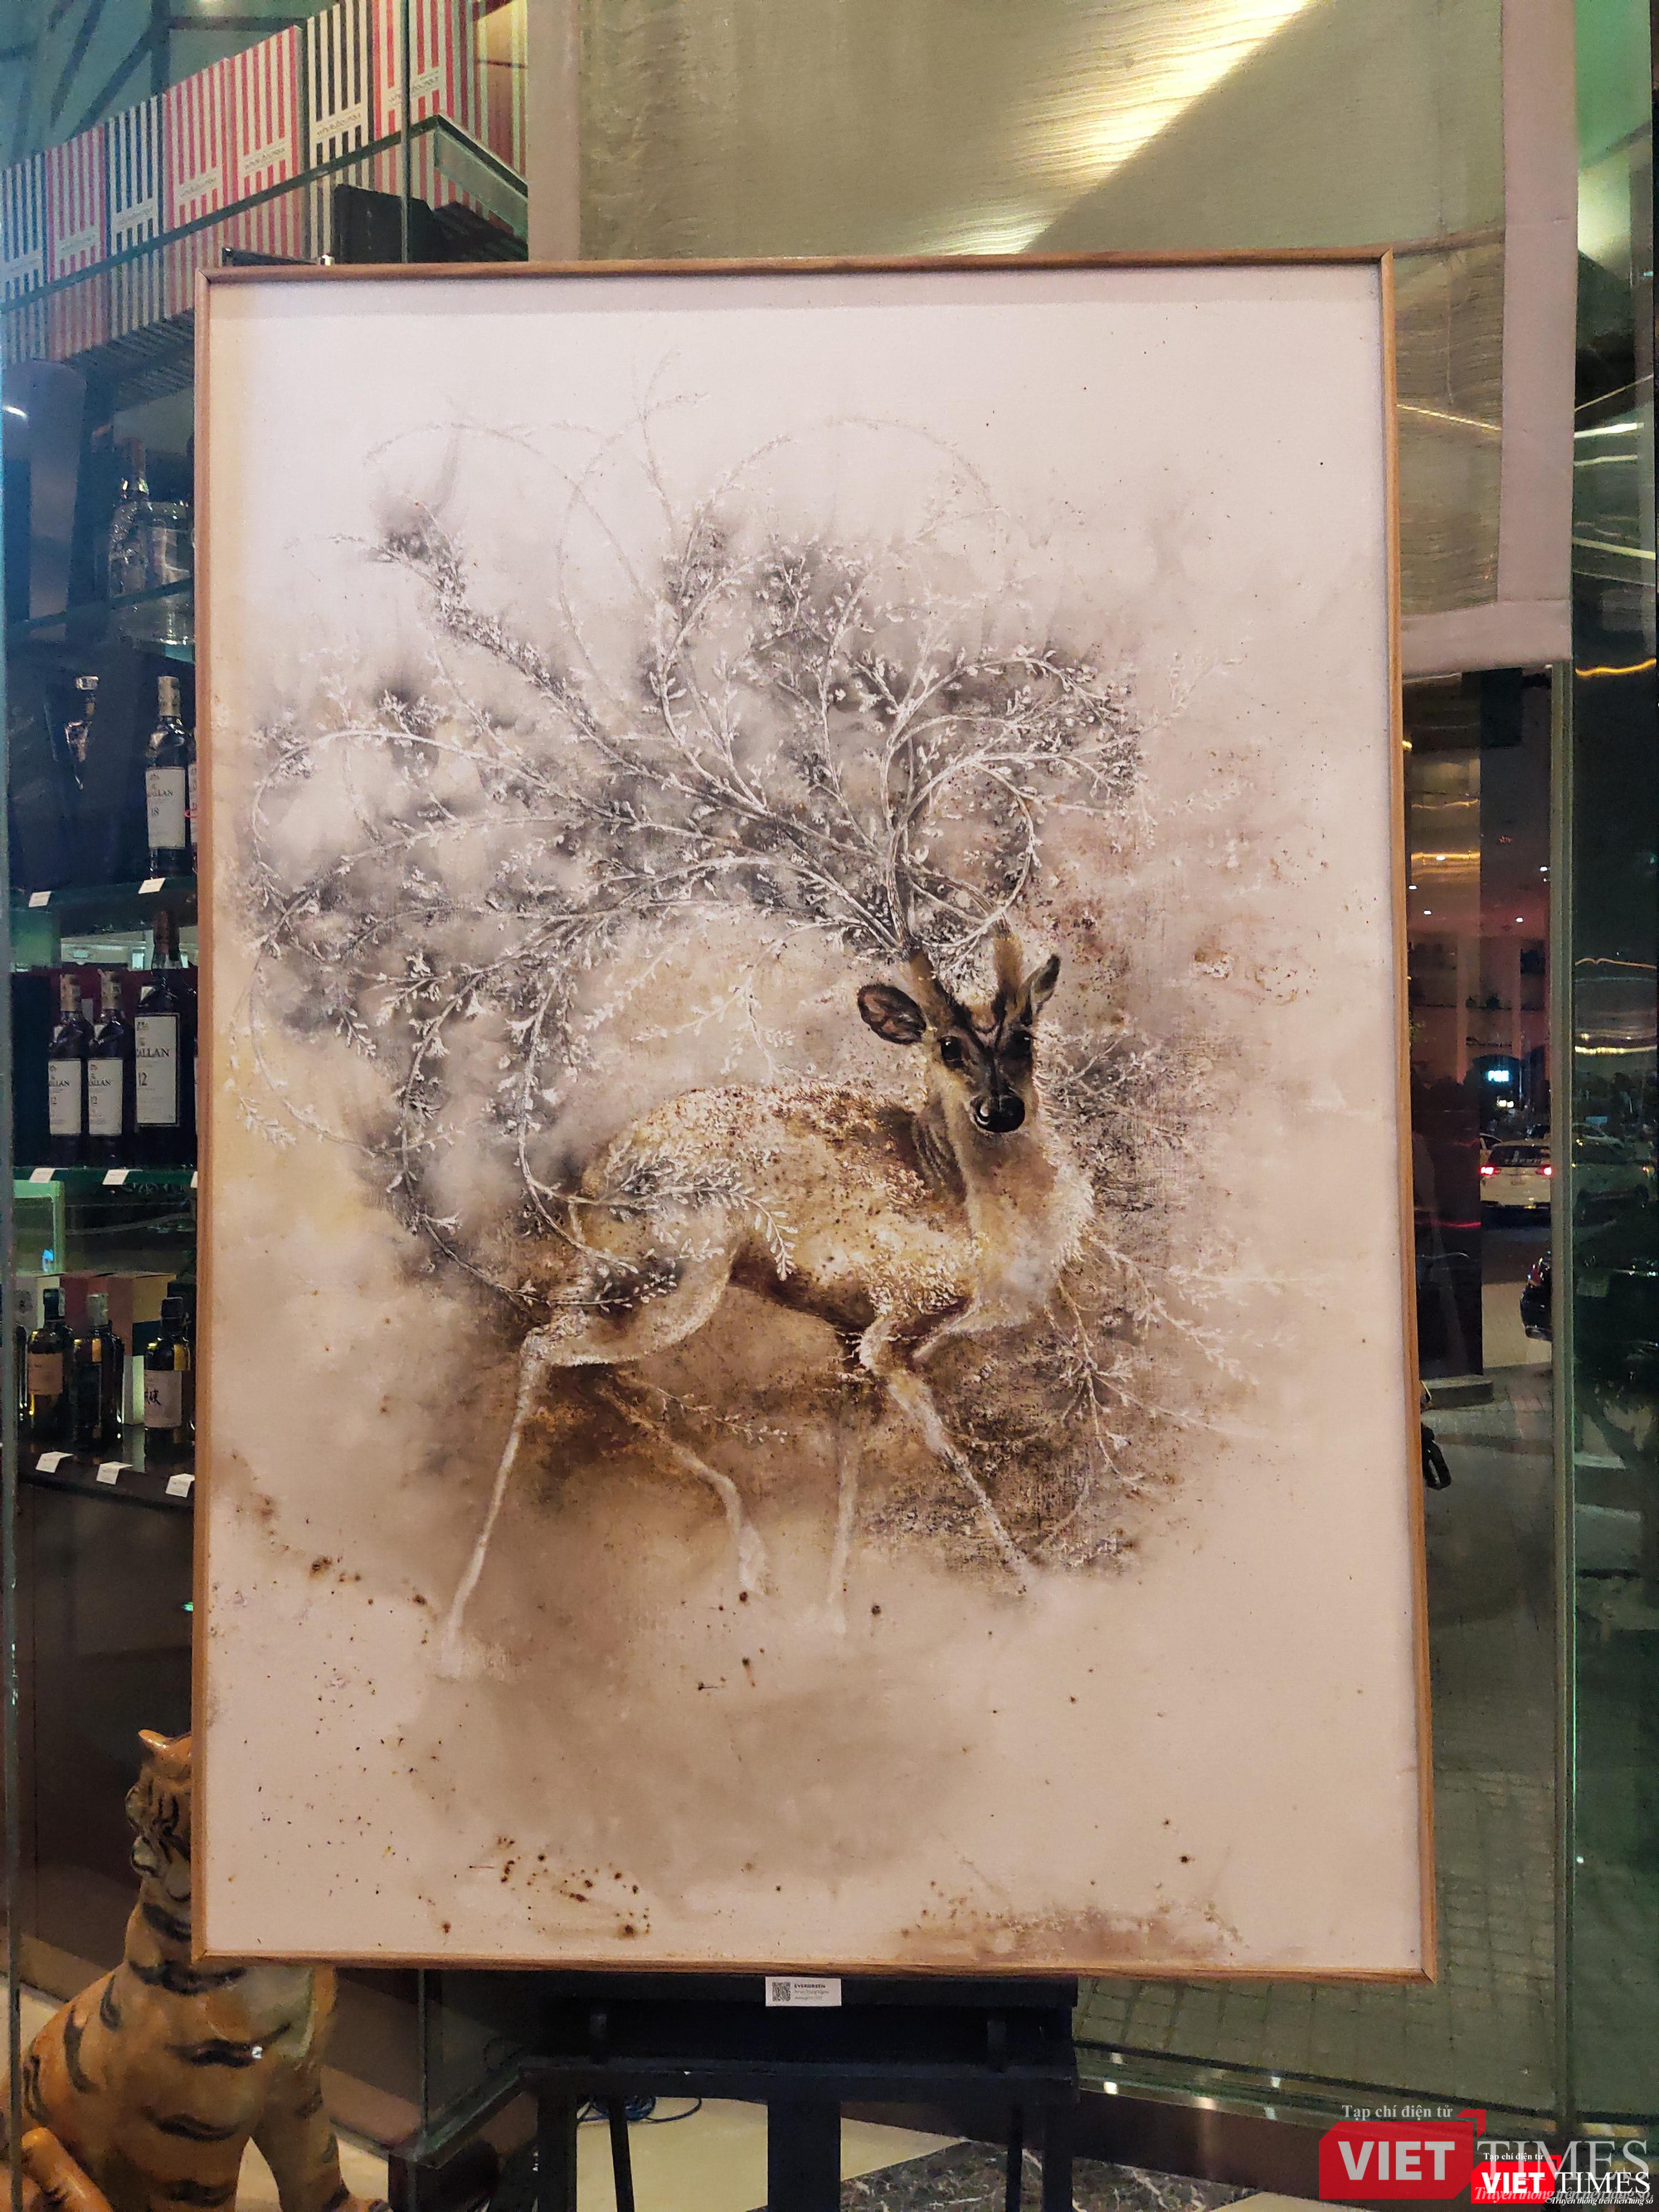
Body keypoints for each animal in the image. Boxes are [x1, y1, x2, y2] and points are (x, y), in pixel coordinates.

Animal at [437, 933, 1093, 1677]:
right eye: (948, 1046)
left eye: (1025, 1037)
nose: (1001, 1109)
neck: (973, 1208)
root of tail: (590, 1184)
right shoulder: (893, 1328)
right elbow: (944, 1446)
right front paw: (1040, 1590)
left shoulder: (851, 1335)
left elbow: (849, 1460)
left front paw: (832, 1617)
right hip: (676, 1283)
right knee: (544, 1347)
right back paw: (458, 1634)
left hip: (626, 1283)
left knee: (579, 1357)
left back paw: (750, 1552)